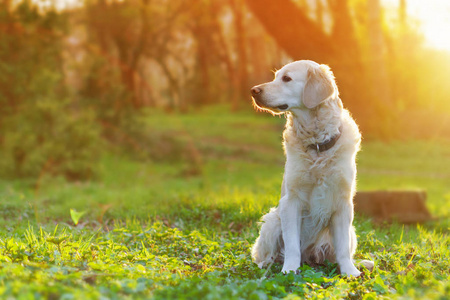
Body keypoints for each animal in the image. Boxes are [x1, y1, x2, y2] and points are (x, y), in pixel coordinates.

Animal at [250, 59, 372, 276]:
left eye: (287, 78)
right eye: (275, 77)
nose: (253, 90)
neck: (317, 145)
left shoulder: (343, 203)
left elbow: (342, 249)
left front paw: (349, 272)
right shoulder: (291, 201)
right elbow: (291, 245)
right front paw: (290, 269)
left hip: (351, 232)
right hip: (273, 221)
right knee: (266, 254)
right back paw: (267, 265)